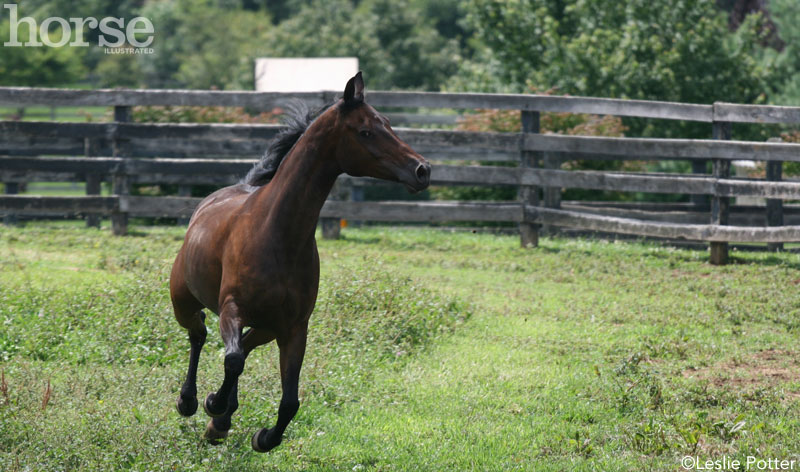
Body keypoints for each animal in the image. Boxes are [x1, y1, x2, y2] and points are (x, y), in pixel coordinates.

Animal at [170, 72, 431, 452]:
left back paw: (221, 421)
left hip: (267, 327)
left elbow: (289, 400)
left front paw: (262, 437)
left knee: (244, 346)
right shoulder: (232, 308)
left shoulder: (295, 328)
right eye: (366, 131)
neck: (278, 236)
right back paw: (190, 402)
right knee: (200, 333)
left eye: (387, 123)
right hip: (183, 301)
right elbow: (231, 359)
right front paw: (213, 404)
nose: (422, 170)